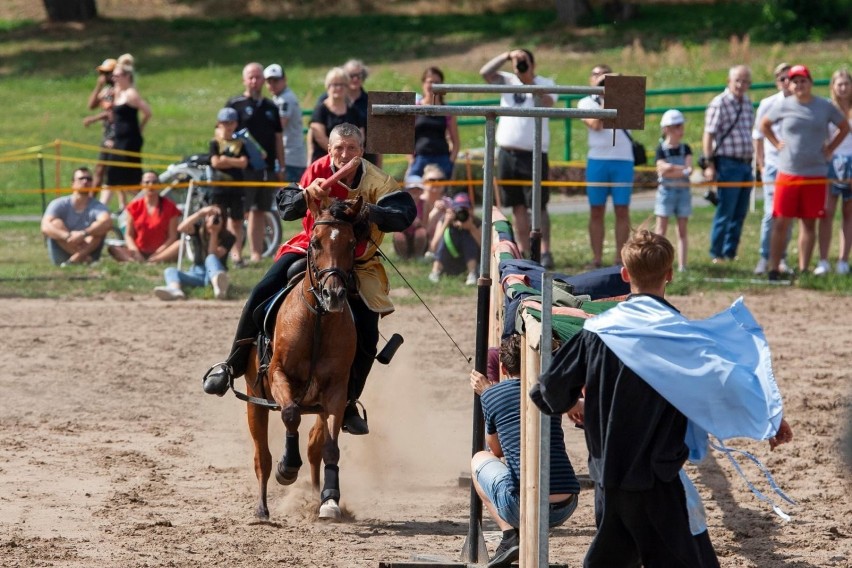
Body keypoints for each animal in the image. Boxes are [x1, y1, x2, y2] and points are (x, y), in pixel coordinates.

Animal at [243, 195, 370, 520]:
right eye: (315, 242)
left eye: (352, 242)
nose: (334, 294)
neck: (318, 322)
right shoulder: (277, 375)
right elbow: (290, 414)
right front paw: (287, 467)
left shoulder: (336, 392)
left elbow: (330, 449)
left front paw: (330, 499)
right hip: (254, 400)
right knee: (261, 455)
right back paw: (262, 508)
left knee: (314, 447)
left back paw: (316, 497)